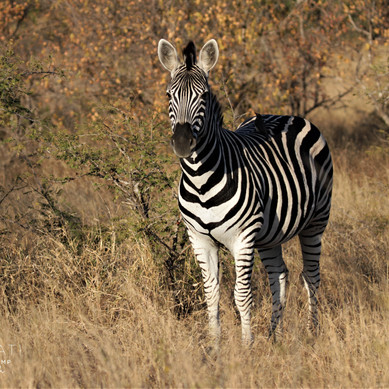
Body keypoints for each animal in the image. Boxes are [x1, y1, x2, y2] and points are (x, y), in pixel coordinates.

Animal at [156, 38, 332, 342]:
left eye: (204, 96)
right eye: (169, 95)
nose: (182, 142)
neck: (201, 180)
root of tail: (286, 115)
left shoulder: (243, 237)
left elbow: (242, 296)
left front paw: (247, 346)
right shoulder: (198, 239)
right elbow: (211, 294)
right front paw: (215, 346)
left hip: (316, 221)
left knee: (311, 276)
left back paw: (312, 332)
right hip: (271, 234)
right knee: (280, 275)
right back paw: (275, 335)